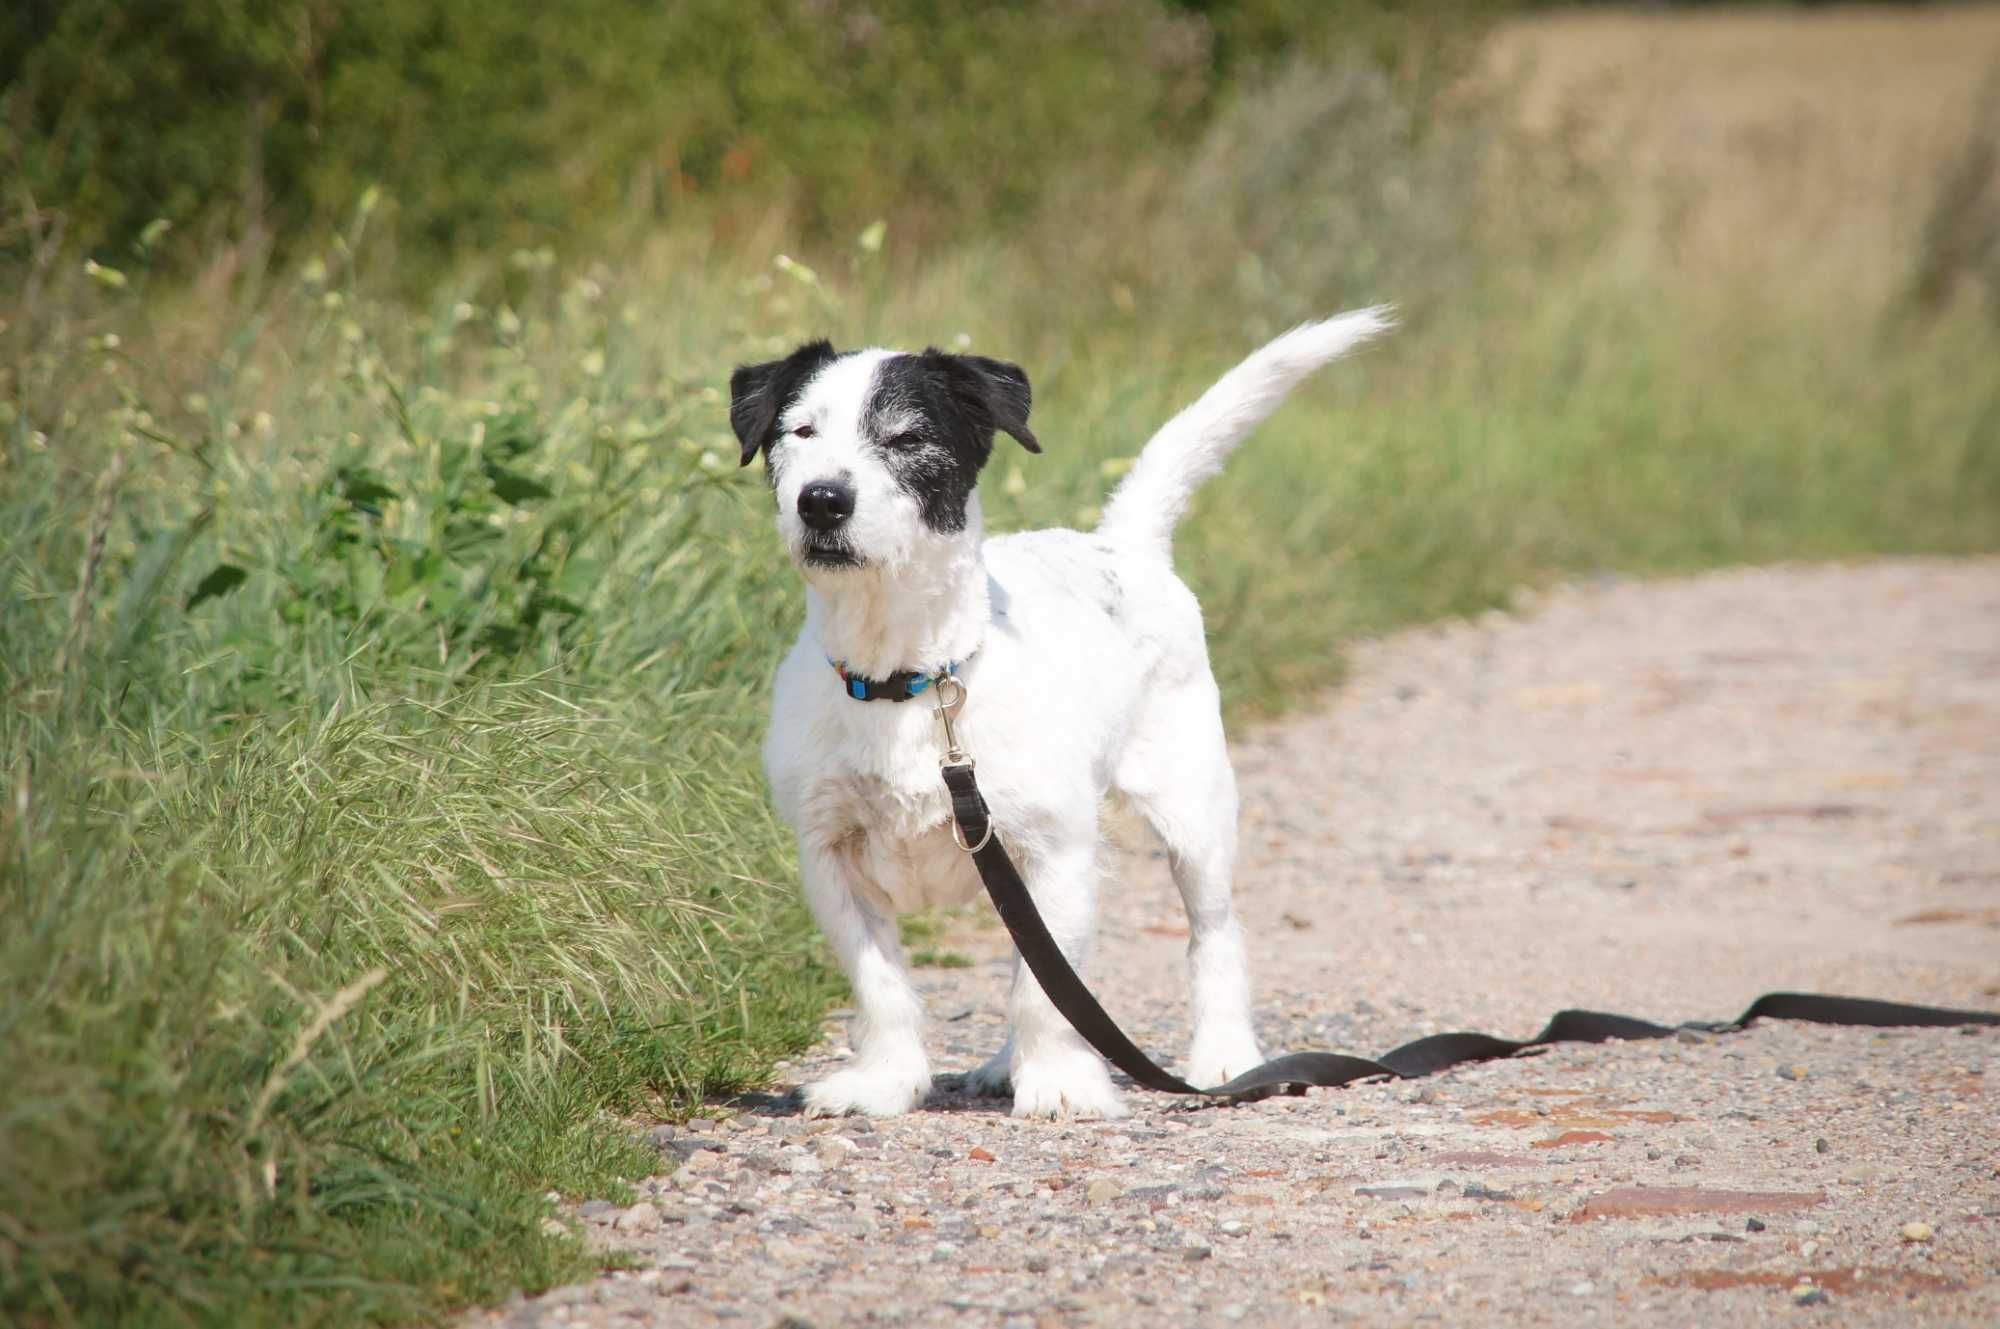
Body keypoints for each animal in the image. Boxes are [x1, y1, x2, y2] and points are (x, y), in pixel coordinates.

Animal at [732, 306, 1392, 1112]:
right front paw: (885, 1080)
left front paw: (1058, 1085)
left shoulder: (1056, 851)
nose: (822, 499)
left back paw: (1225, 1055)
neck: (910, 676)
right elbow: (882, 984)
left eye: (907, 438)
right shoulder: (830, 857)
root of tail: (1121, 545)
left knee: (1211, 935)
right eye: (800, 431)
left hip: (1195, 813)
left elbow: (1045, 994)